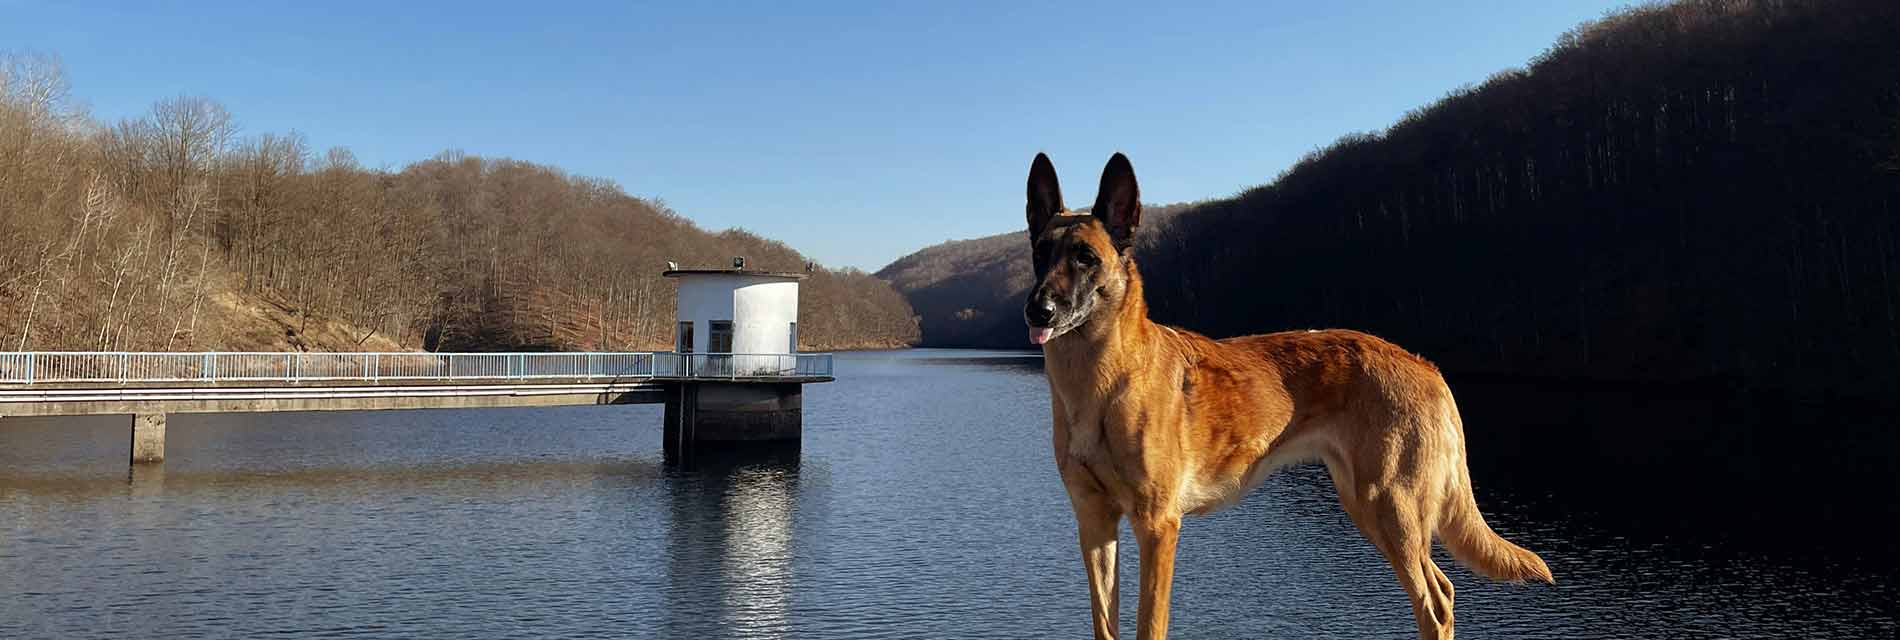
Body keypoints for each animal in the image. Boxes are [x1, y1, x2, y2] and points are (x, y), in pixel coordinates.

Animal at [1033, 151, 1550, 634]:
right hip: (1369, 506)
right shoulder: (1094, 524)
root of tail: (1426, 366)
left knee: (1435, 604)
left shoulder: (1157, 526)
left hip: (1391, 507)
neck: (1097, 383)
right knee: (1441, 591)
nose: (1038, 310)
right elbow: (1105, 623)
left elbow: (1149, 626)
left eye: (1085, 258)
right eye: (1040, 253)